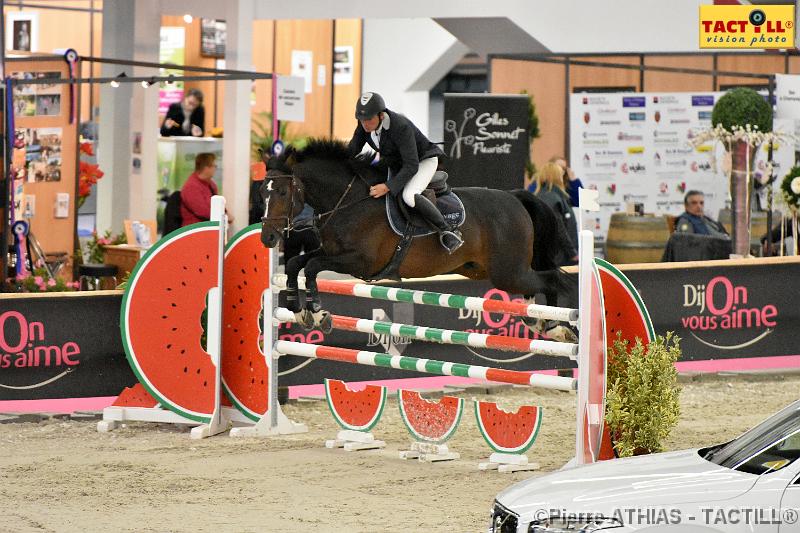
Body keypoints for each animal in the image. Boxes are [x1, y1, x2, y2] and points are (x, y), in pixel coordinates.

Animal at [260, 137, 580, 336]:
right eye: (263, 190)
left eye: (283, 192)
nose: (268, 239)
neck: (348, 200)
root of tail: (515, 198)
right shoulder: (330, 252)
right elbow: (296, 264)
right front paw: (296, 308)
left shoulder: (359, 262)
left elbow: (312, 267)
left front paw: (316, 312)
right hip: (486, 270)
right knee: (540, 282)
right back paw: (541, 321)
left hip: (508, 273)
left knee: (552, 279)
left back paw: (556, 326)